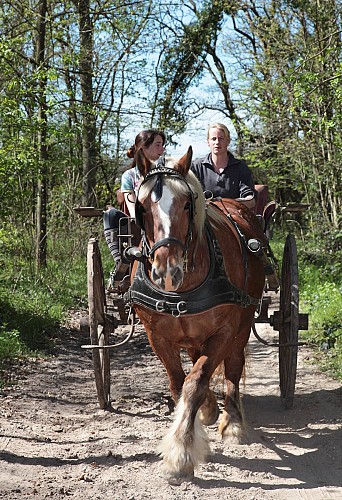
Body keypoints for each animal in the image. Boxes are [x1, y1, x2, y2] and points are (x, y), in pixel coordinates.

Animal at [124, 147, 266, 484]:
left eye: (187, 204)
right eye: (142, 207)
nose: (167, 270)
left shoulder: (224, 331)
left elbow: (196, 381)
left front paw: (181, 453)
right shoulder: (157, 336)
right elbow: (179, 383)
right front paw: (202, 413)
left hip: (242, 323)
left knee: (233, 367)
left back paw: (233, 421)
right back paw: (211, 409)